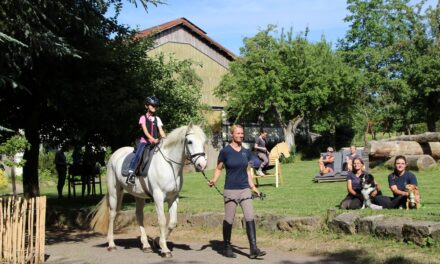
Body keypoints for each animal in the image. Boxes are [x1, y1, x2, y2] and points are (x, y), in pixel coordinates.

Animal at [90, 125, 207, 256]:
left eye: (204, 142)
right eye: (190, 141)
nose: (202, 164)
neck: (169, 165)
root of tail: (115, 155)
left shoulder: (173, 198)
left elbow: (172, 222)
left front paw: (157, 242)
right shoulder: (158, 197)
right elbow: (162, 221)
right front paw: (165, 249)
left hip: (139, 196)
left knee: (139, 216)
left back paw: (146, 245)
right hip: (114, 192)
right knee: (112, 215)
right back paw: (111, 244)